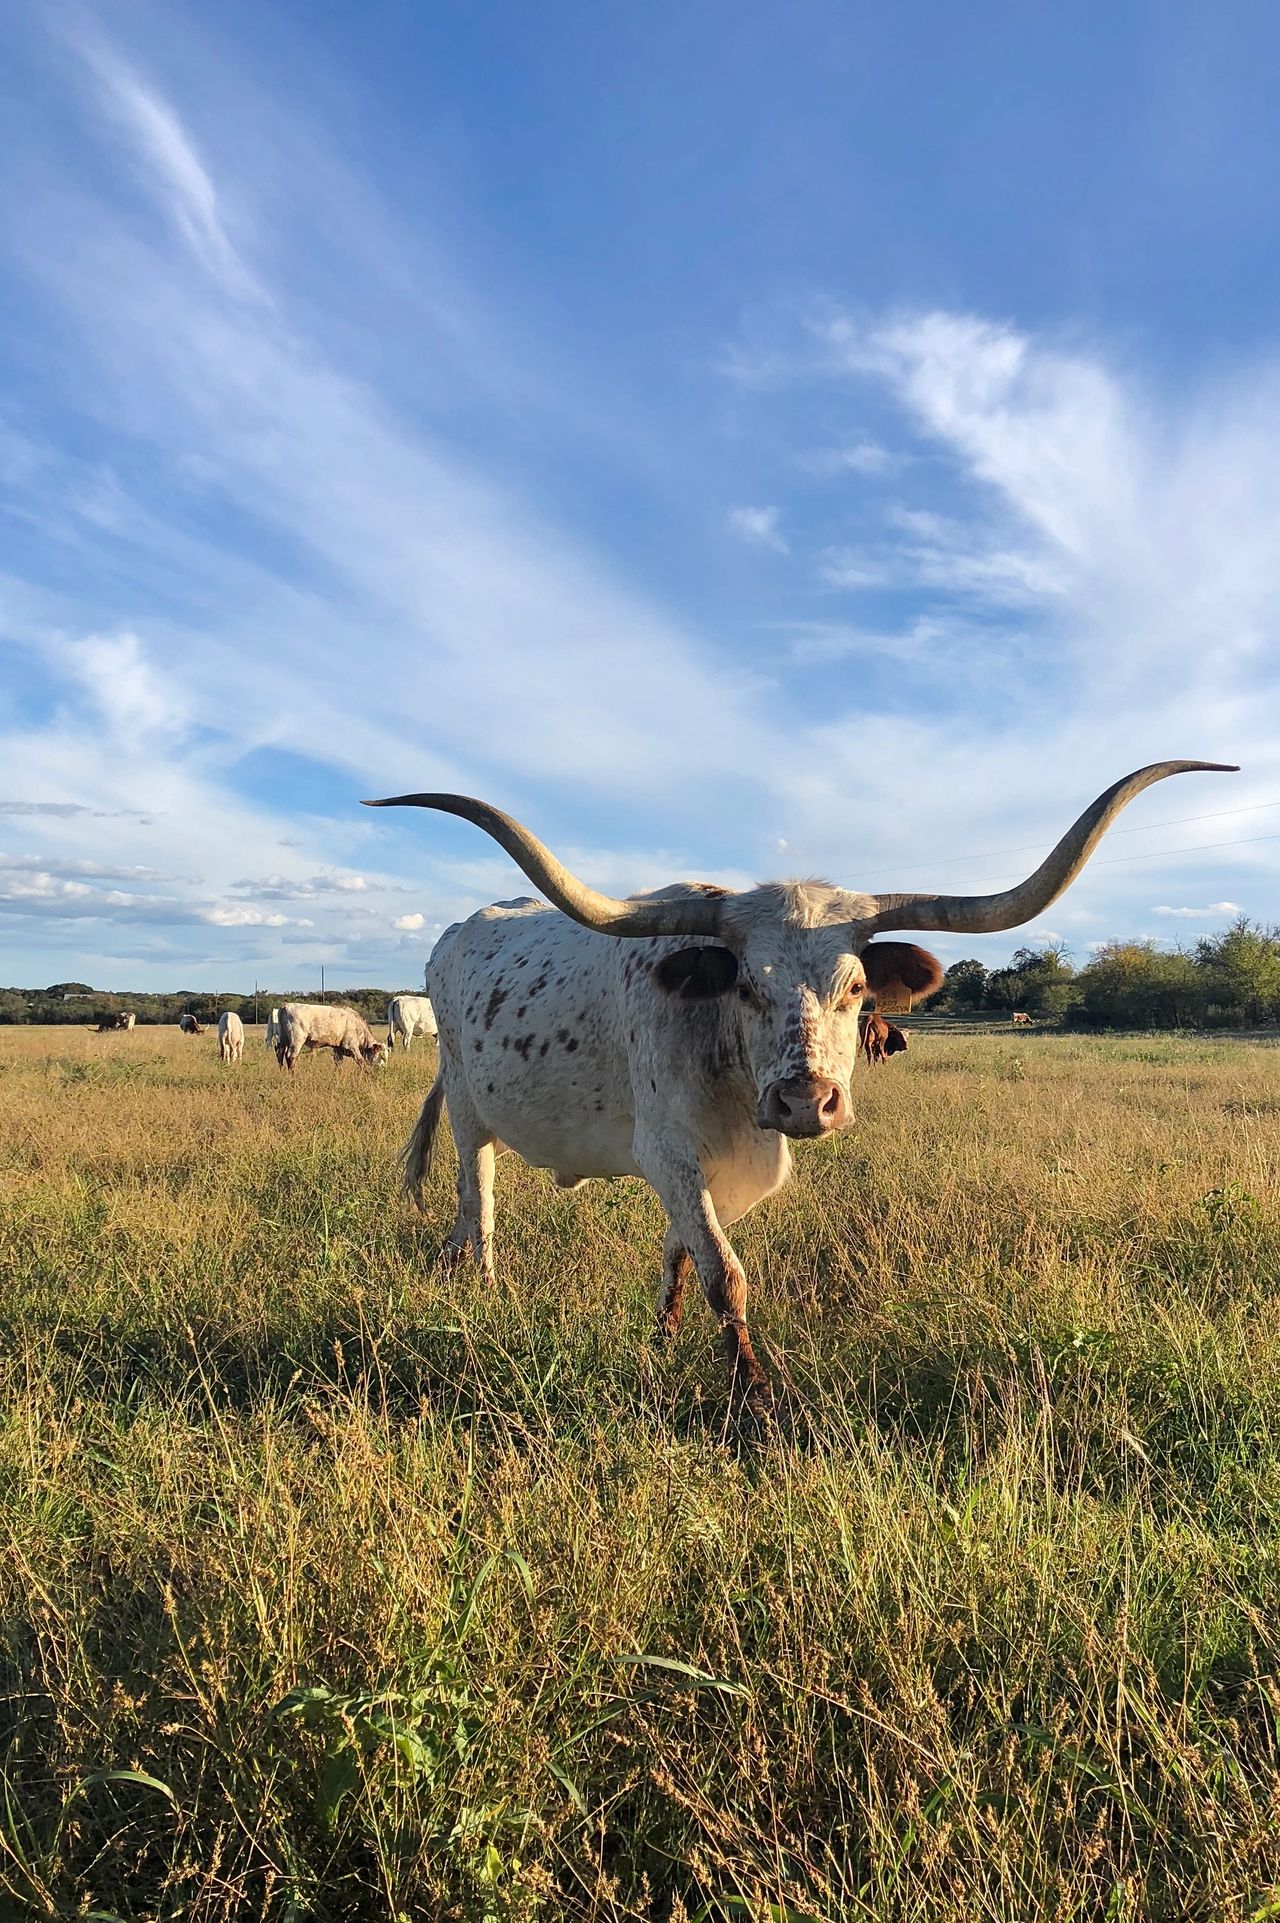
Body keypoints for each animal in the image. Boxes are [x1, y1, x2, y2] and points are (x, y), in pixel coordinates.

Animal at [364, 759, 1235, 1413]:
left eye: (855, 987)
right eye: (747, 985)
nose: (805, 1101)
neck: (730, 1069)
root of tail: (453, 934)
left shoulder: (714, 1169)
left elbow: (681, 1257)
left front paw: (660, 1347)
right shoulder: (667, 1152)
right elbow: (725, 1271)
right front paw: (753, 1400)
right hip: (469, 1110)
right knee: (477, 1207)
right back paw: (479, 1290)